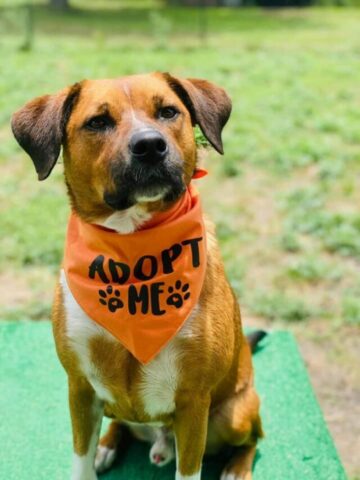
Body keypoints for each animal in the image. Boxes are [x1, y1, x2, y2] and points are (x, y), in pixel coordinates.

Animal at [11, 72, 264, 480]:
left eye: (168, 112)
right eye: (97, 122)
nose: (150, 146)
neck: (131, 251)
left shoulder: (193, 401)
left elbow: (189, 470)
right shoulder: (79, 387)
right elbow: (80, 460)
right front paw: (95, 453)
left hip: (233, 414)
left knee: (255, 436)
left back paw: (236, 467)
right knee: (120, 422)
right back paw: (109, 444)